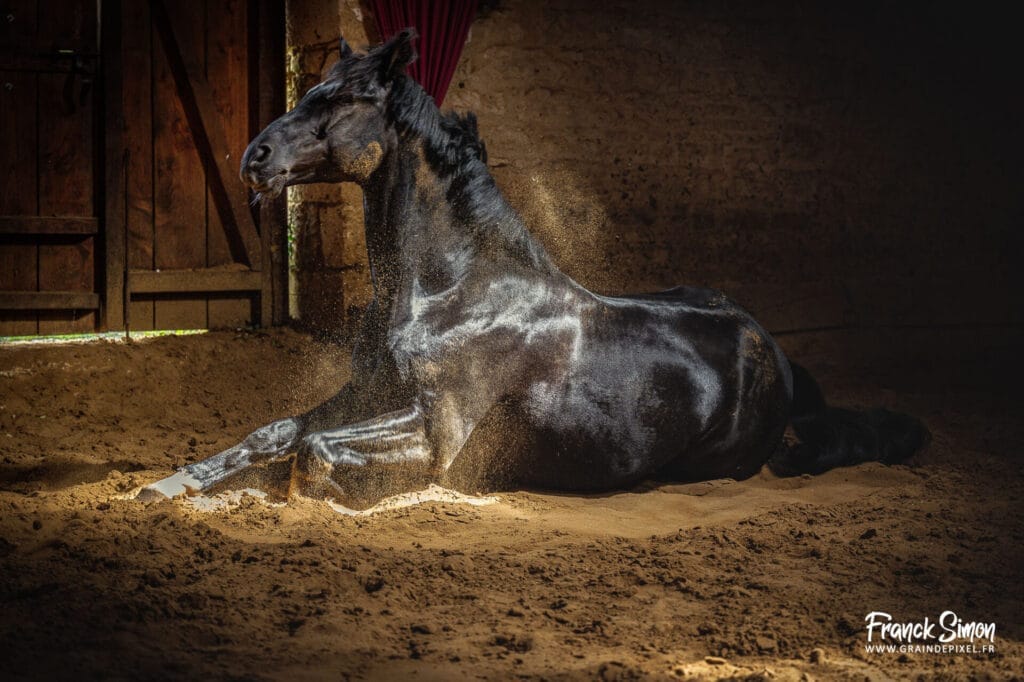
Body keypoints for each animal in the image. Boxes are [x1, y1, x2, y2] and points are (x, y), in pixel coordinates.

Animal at [139, 30, 927, 505]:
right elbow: (276, 433)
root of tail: (774, 351)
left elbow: (313, 455)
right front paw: (169, 487)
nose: (255, 158)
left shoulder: (436, 432)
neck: (448, 293)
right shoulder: (367, 392)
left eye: (342, 100)